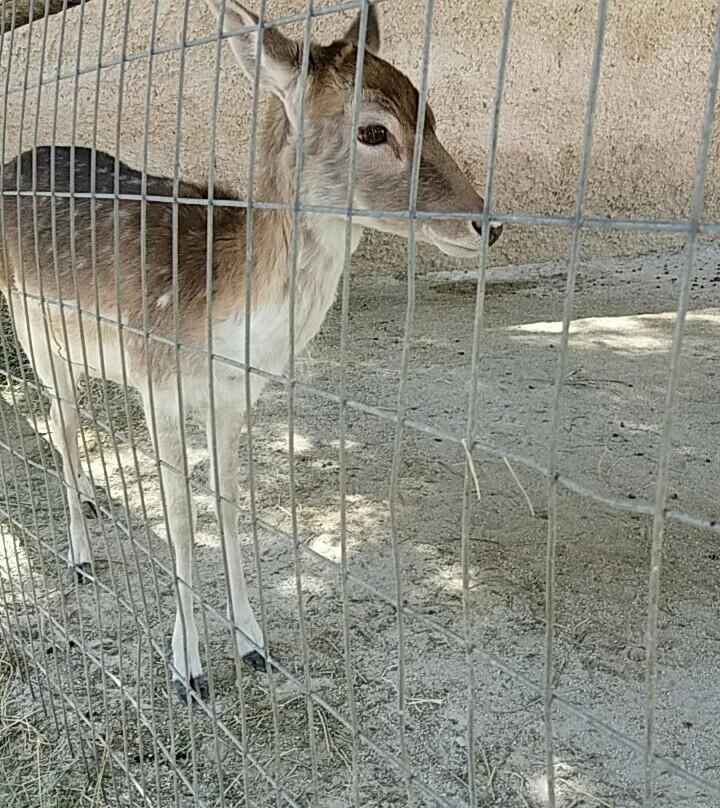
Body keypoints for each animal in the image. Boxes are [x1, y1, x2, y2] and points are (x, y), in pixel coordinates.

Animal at [0, 1, 504, 700]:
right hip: (30, 327)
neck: (221, 322)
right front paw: (187, 669)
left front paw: (253, 643)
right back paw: (78, 554)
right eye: (374, 131)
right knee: (62, 415)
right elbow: (181, 521)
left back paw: (98, 503)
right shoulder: (158, 383)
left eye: (430, 116)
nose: (489, 223)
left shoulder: (234, 397)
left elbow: (231, 506)